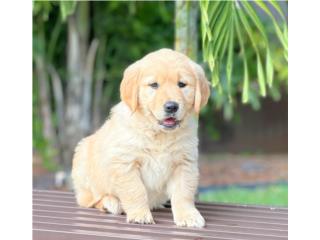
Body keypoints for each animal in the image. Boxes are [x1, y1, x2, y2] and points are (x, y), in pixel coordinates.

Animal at [71, 48, 210, 227]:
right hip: (82, 159)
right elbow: (135, 190)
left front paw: (188, 216)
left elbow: (183, 193)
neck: (159, 134)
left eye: (182, 84)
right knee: (88, 199)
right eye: (154, 85)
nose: (171, 106)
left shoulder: (184, 163)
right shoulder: (126, 162)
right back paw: (110, 203)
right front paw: (140, 215)